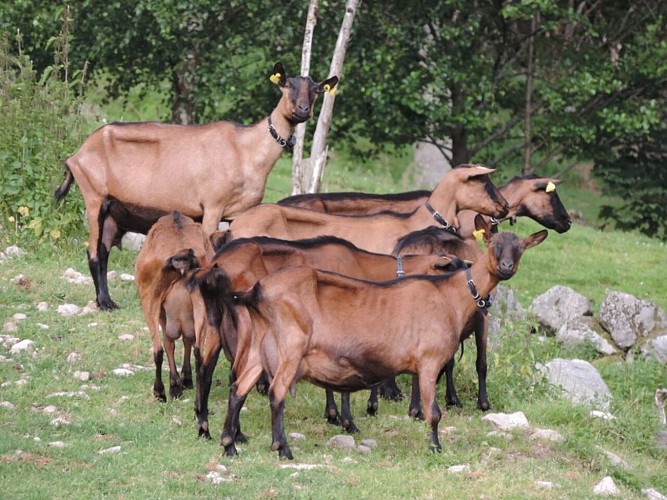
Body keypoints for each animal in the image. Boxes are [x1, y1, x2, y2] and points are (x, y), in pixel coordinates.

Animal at [54, 62, 339, 310]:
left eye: (316, 90)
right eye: (287, 84)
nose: (302, 109)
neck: (246, 150)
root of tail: (76, 156)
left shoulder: (241, 212)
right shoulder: (212, 206)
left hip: (113, 211)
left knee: (102, 252)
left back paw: (108, 301)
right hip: (94, 197)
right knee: (93, 252)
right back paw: (103, 304)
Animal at [135, 211, 215, 402]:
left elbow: (169, 343)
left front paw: (177, 383)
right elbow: (186, 341)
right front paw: (184, 380)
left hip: (150, 300)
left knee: (159, 349)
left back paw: (160, 391)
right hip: (202, 305)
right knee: (198, 351)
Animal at [190, 235, 461, 440]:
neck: (364, 264)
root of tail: (215, 264)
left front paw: (338, 415)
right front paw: (347, 419)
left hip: (213, 324)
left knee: (204, 369)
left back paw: (205, 428)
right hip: (247, 329)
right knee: (235, 374)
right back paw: (236, 435)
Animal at [217, 215, 547, 459]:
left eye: (520, 248)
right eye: (493, 245)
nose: (506, 268)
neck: (451, 294)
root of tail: (258, 291)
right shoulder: (430, 361)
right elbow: (434, 412)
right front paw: (435, 448)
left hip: (260, 348)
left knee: (238, 389)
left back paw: (229, 445)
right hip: (290, 348)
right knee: (276, 393)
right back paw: (282, 449)